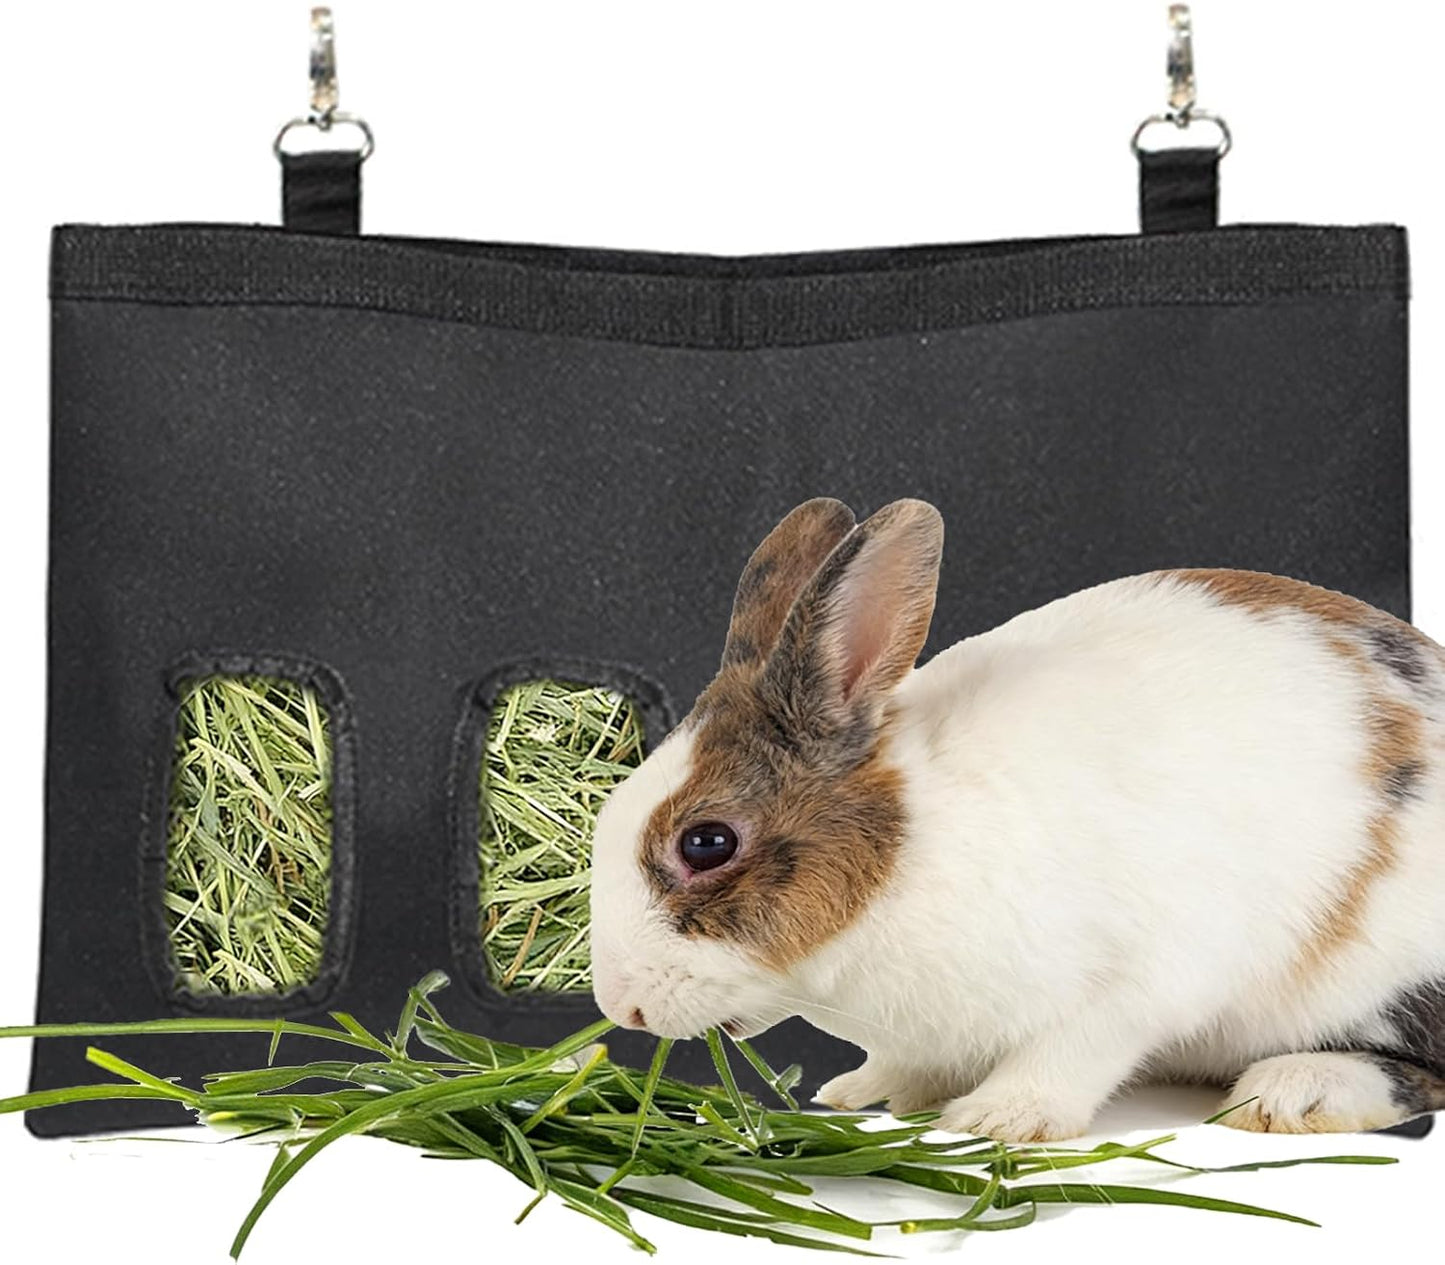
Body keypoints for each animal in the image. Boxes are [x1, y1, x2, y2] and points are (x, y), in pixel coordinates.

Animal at [588, 496, 1445, 1142]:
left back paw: (1290, 1092)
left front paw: (999, 1118)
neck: (908, 856)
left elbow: (1072, 1051)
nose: (618, 1005)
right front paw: (866, 1092)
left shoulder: (1138, 978)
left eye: (706, 842)